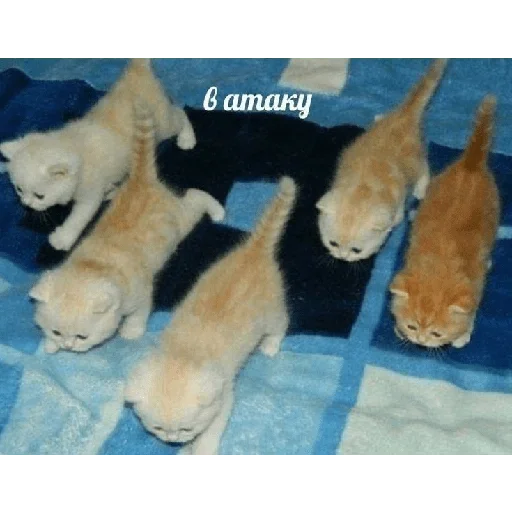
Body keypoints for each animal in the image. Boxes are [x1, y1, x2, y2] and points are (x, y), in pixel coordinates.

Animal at [0, 57, 196, 252]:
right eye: (19, 189)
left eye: (40, 196)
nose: (26, 203)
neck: (71, 145)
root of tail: (137, 70)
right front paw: (111, 190)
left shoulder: (90, 192)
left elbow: (79, 217)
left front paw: (62, 238)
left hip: (162, 124)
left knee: (180, 114)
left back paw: (187, 138)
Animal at [29, 100, 223, 354]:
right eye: (57, 332)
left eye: (82, 337)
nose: (68, 346)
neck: (93, 266)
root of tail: (140, 180)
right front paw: (49, 345)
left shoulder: (141, 292)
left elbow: (140, 312)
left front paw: (132, 331)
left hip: (181, 220)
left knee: (195, 196)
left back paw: (217, 211)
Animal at [124, 176, 297, 456]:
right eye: (158, 428)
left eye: (186, 429)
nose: (172, 440)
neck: (182, 352)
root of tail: (254, 249)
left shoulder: (224, 396)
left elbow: (213, 427)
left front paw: (201, 448)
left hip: (272, 310)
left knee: (282, 323)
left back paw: (271, 345)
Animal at [316, 57, 448, 262]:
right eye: (333, 243)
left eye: (356, 250)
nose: (342, 257)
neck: (362, 189)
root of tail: (403, 116)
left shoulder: (397, 204)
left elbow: (395, 221)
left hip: (415, 157)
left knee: (424, 166)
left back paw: (420, 189)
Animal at [389, 95, 500, 349]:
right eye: (412, 326)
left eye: (436, 334)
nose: (420, 340)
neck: (439, 267)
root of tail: (470, 165)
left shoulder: (475, 286)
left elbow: (472, 309)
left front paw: (462, 334)